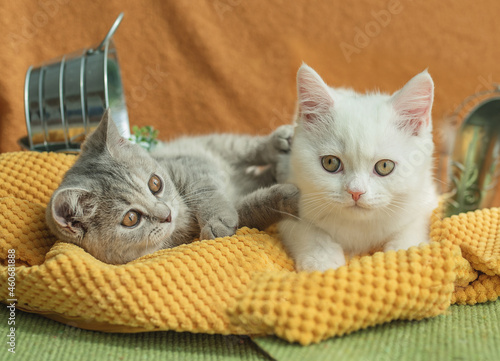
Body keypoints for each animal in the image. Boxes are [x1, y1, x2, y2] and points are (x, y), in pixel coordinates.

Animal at [46, 111, 296, 262]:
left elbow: (206, 193)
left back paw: (280, 141)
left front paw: (217, 219)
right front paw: (286, 197)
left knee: (248, 148)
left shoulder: (191, 167)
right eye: (131, 218)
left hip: (217, 144)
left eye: (155, 183)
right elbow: (253, 207)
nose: (166, 214)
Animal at [280, 64, 440, 270]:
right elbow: (308, 232)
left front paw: (404, 257)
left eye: (385, 166)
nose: (355, 192)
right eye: (330, 163)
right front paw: (322, 261)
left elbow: (411, 229)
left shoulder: (426, 200)